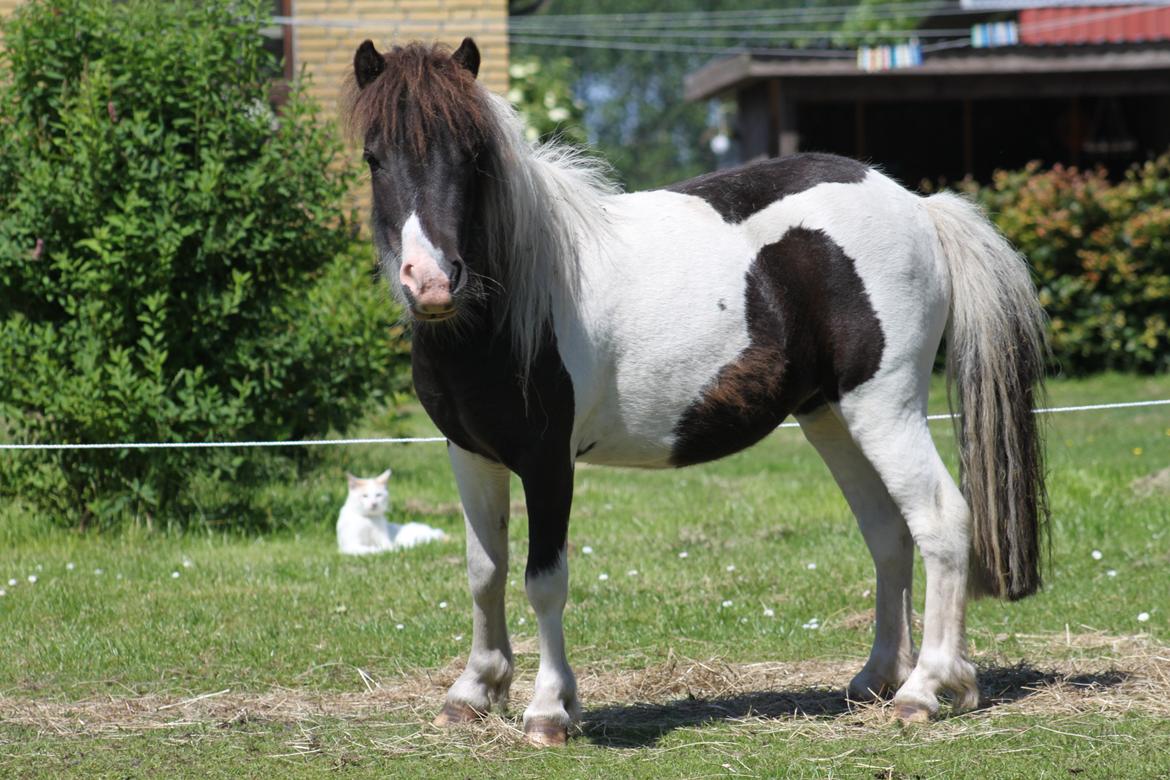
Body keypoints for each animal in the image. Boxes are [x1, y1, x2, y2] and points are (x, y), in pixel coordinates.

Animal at [346, 39, 1053, 748]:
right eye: (374, 157)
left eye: (473, 155)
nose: (432, 282)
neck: (513, 303)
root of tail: (919, 206)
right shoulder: (471, 453)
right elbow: (483, 572)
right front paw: (474, 691)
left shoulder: (548, 462)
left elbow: (543, 580)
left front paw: (549, 709)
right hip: (831, 416)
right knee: (887, 533)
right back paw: (878, 678)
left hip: (886, 408)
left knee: (940, 521)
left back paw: (927, 689)